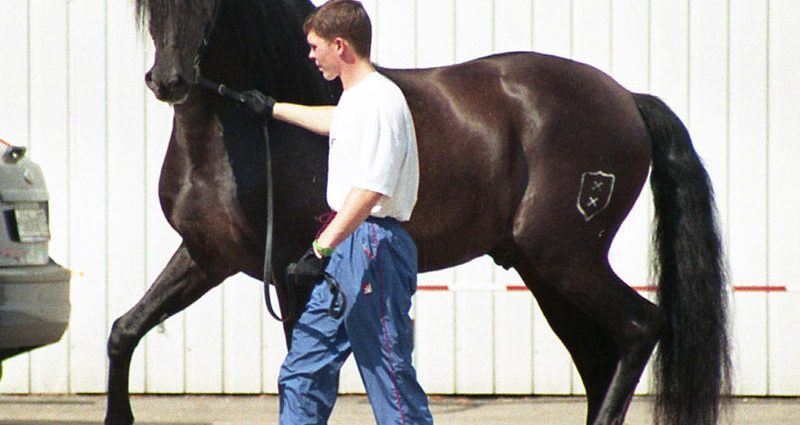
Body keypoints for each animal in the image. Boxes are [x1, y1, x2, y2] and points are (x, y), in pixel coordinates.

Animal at [108, 1, 732, 422]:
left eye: (211, 2)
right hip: (546, 272)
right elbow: (125, 330)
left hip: (567, 259)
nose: (170, 81)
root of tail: (627, 99)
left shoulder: (292, 270)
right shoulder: (205, 257)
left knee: (638, 327)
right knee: (600, 356)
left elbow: (298, 373)